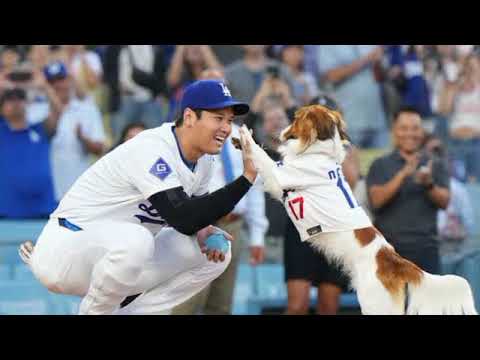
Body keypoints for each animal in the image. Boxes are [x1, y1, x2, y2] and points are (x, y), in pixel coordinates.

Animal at [238, 104, 478, 316]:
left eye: (296, 118)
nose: (281, 130)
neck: (319, 153)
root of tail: (394, 261)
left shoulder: (279, 178)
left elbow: (262, 157)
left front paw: (243, 135)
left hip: (374, 305)